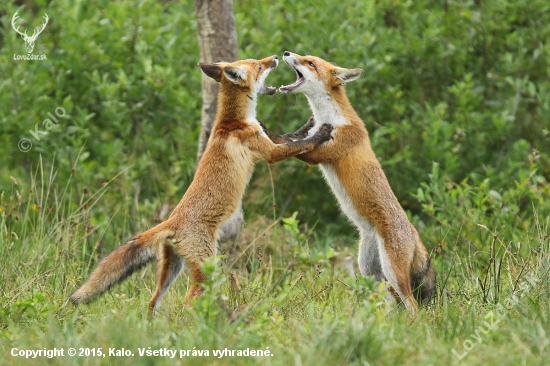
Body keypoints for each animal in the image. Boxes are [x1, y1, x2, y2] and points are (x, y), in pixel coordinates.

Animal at [70, 55, 334, 314]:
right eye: (259, 65)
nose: (277, 57)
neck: (233, 121)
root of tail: (171, 222)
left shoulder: (268, 138)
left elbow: (291, 136)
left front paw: (308, 124)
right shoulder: (269, 152)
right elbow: (299, 145)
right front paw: (321, 133)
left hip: (172, 268)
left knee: (153, 301)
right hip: (205, 264)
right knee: (191, 299)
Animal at [270, 50, 438, 314]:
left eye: (310, 63)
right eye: (304, 57)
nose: (287, 52)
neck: (330, 117)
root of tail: (414, 233)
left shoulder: (323, 153)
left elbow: (293, 145)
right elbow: (291, 139)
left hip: (393, 272)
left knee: (413, 307)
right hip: (371, 271)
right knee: (393, 303)